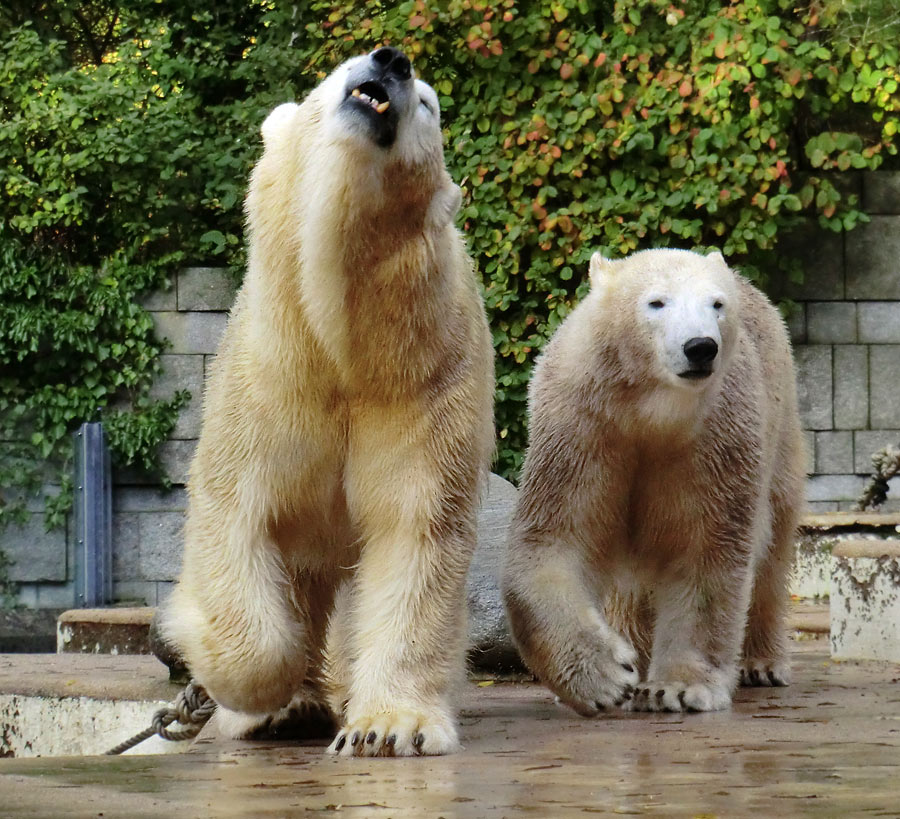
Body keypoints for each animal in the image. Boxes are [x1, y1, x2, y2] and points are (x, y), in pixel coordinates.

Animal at [165, 48, 496, 760]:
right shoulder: (270, 379)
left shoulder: (423, 381)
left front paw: (389, 725)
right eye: (340, 67)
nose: (391, 60)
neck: (344, 342)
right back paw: (294, 708)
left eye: (430, 106)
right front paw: (242, 688)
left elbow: (415, 529)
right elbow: (235, 516)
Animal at [502, 247, 804, 716]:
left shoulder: (714, 443)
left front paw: (677, 688)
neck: (647, 411)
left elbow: (705, 553)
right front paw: (605, 677)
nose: (700, 347)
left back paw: (763, 663)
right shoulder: (582, 429)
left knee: (773, 547)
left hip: (781, 422)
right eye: (656, 303)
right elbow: (555, 538)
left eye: (716, 304)